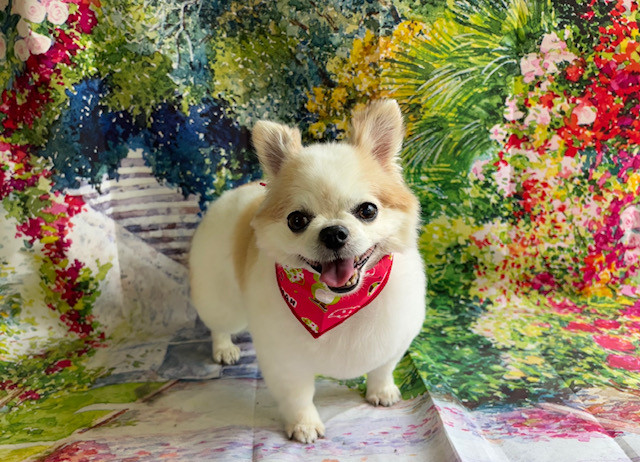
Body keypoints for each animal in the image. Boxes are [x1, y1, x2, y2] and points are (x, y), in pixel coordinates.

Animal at [189, 99, 425, 443]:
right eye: (297, 220)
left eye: (368, 210)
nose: (334, 233)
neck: (335, 305)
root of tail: (233, 193)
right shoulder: (286, 359)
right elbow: (298, 396)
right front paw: (304, 425)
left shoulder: (394, 338)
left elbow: (383, 368)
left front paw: (381, 391)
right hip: (220, 298)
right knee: (219, 325)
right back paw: (224, 349)